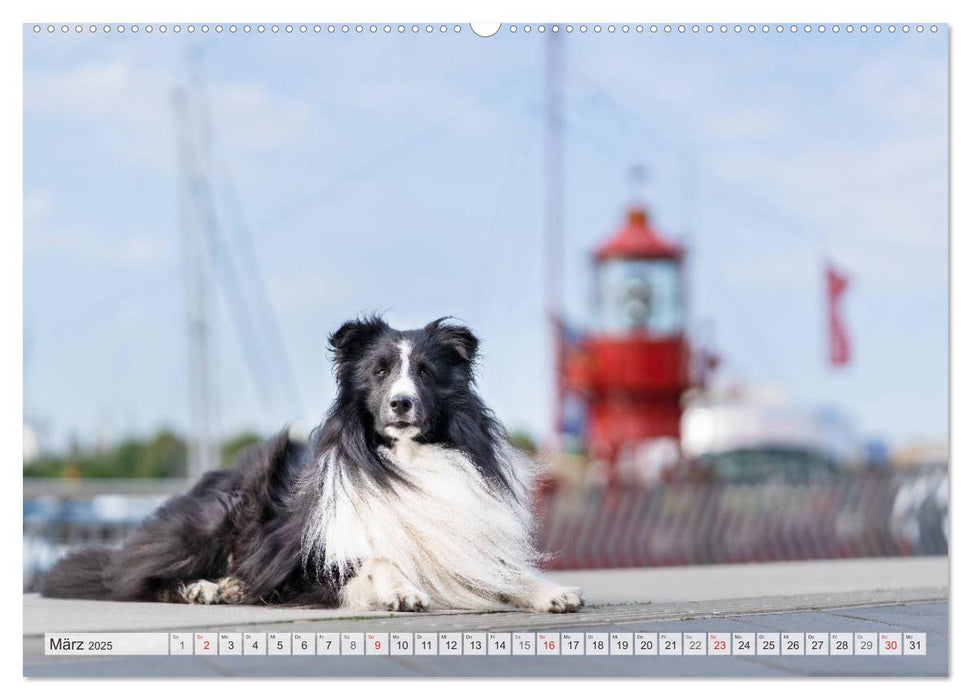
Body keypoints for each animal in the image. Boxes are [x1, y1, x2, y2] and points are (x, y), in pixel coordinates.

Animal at [39, 318, 584, 612]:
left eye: (426, 372)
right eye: (379, 371)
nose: (401, 404)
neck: (405, 461)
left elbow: (506, 573)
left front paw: (553, 592)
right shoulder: (312, 565)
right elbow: (377, 558)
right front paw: (403, 590)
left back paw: (231, 585)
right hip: (215, 520)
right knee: (138, 577)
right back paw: (201, 588)